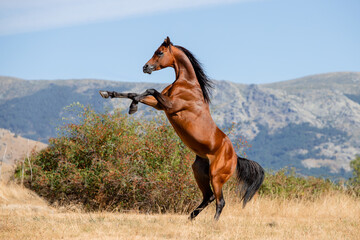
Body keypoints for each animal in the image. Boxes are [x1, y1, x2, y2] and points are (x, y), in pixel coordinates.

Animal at [99, 36, 264, 220]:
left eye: (160, 52)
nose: (145, 67)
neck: (187, 84)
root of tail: (235, 157)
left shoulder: (170, 105)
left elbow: (149, 89)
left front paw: (132, 107)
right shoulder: (160, 105)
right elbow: (134, 94)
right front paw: (109, 94)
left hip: (216, 176)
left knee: (220, 201)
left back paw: (211, 223)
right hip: (199, 171)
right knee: (208, 197)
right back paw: (190, 217)